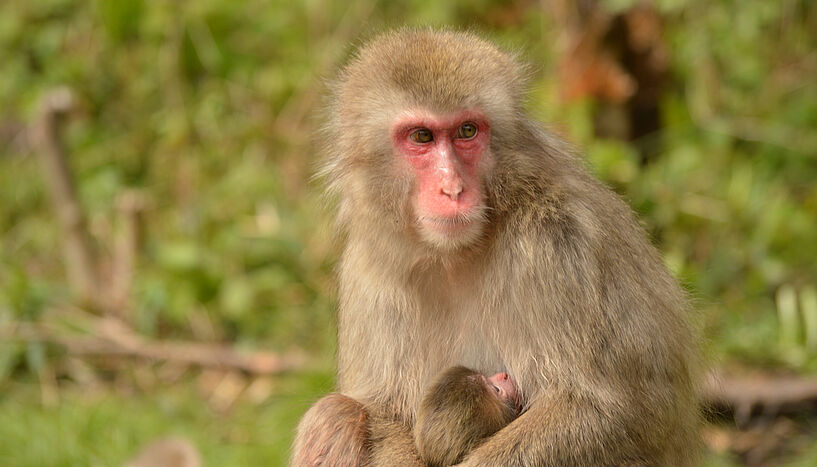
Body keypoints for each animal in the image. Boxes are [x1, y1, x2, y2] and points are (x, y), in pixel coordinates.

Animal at [290, 27, 700, 466]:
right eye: (422, 137)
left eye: (467, 131)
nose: (453, 189)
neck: (455, 256)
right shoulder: (365, 269)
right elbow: (381, 410)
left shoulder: (559, 243)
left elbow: (615, 410)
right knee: (335, 413)